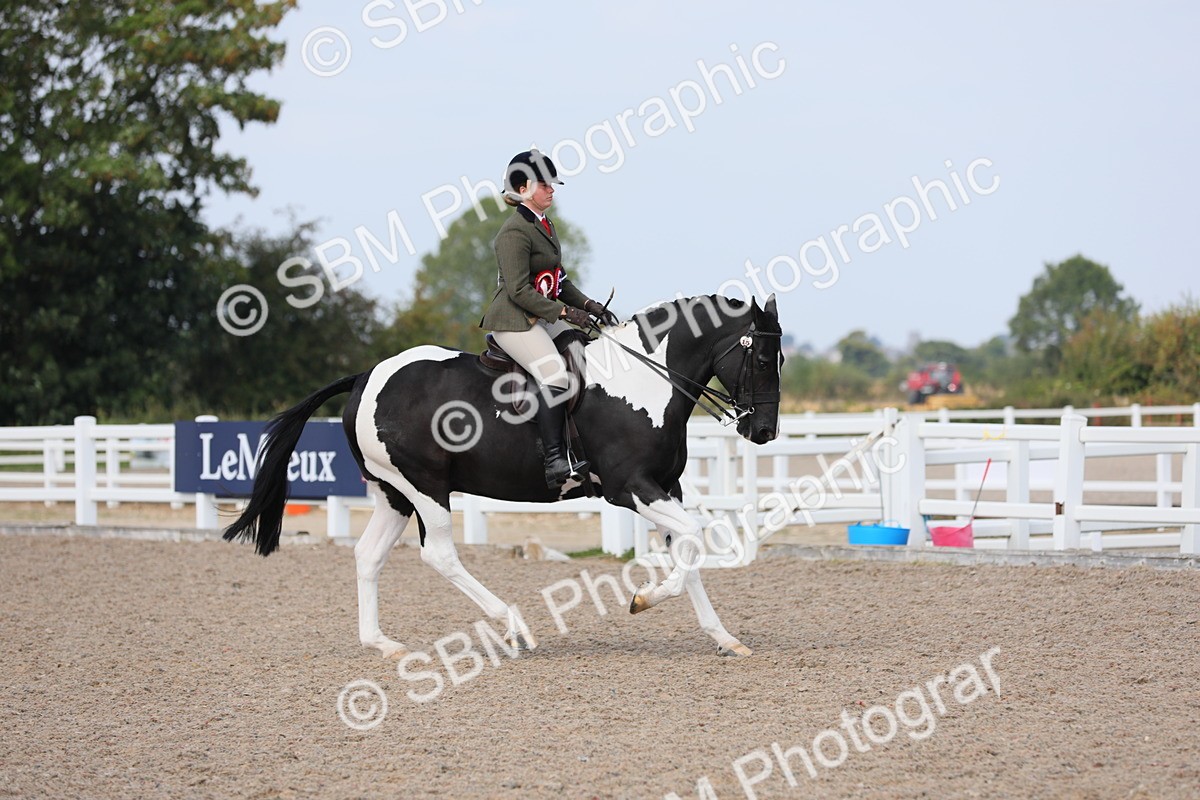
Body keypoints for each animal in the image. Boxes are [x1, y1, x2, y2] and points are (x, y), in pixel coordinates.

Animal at [223, 293, 783, 658]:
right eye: (760, 356)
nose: (764, 431)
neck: (644, 382)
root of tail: (365, 377)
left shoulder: (666, 488)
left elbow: (688, 549)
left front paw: (722, 637)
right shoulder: (632, 490)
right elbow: (693, 537)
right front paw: (642, 599)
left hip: (393, 492)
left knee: (368, 555)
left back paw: (382, 644)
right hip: (425, 487)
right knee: (439, 553)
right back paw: (515, 628)